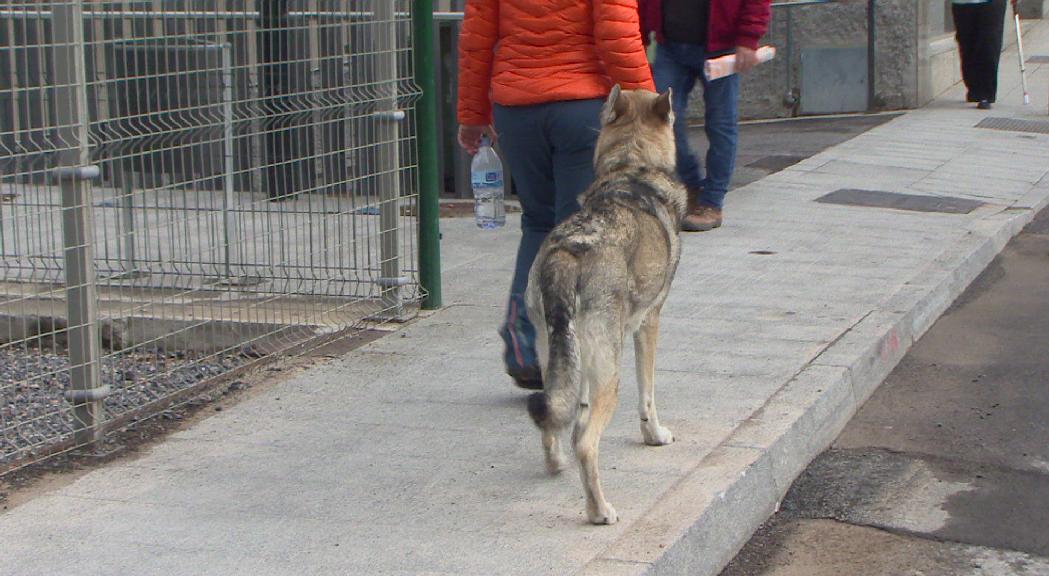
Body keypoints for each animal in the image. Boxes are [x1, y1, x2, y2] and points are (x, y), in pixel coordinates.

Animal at [524, 86, 688, 524]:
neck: (631, 167)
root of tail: (568, 252)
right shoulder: (650, 323)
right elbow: (648, 396)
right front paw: (655, 436)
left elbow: (574, 405)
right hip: (610, 374)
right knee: (585, 442)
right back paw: (599, 511)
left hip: (553, 355)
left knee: (553, 417)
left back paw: (555, 464)